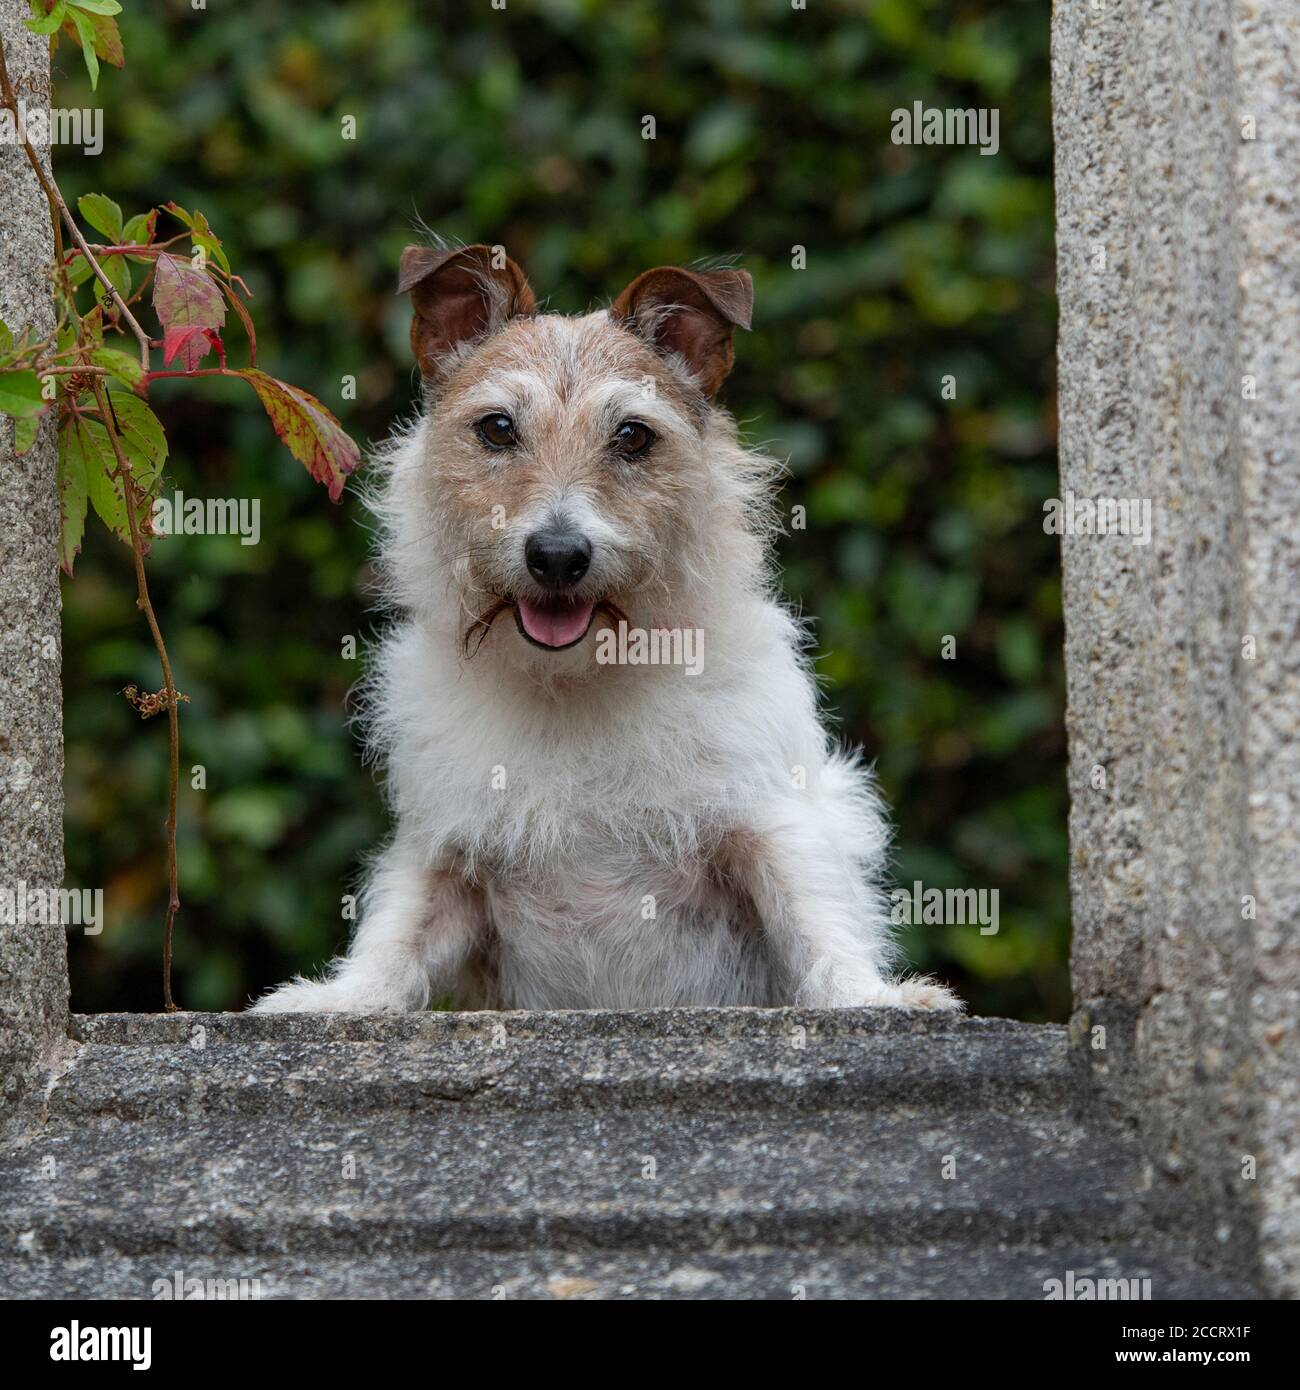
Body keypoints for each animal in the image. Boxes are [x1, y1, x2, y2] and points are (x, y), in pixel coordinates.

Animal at [251, 244, 967, 1017]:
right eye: (498, 428)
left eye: (632, 435)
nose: (558, 555)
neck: (575, 682)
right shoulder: (444, 855)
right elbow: (395, 938)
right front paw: (337, 1000)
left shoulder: (772, 820)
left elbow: (815, 917)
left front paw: (874, 997)